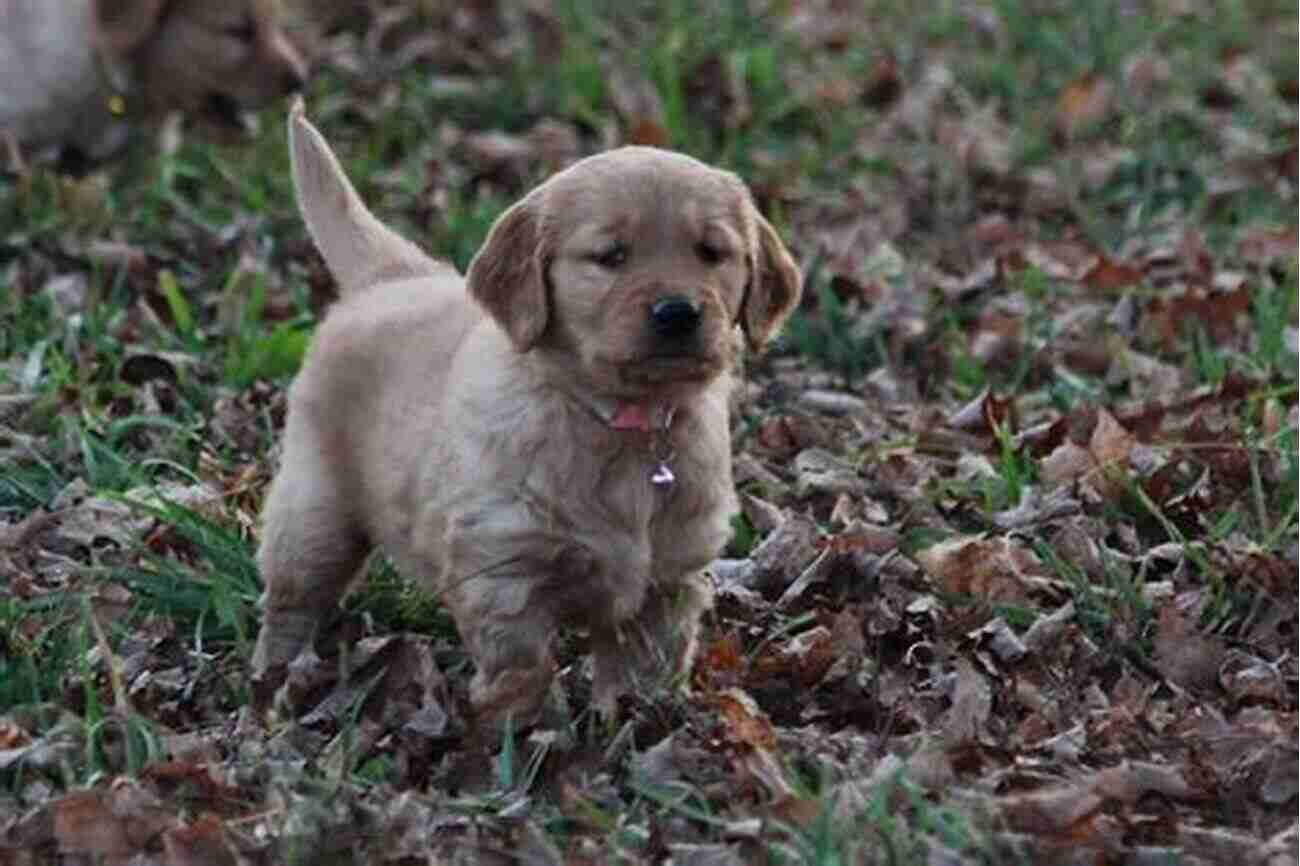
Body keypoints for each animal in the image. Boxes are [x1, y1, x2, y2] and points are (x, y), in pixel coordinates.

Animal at [252, 99, 800, 722]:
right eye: (610, 256)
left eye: (712, 252)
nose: (678, 311)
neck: (620, 422)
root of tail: (392, 277)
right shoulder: (503, 569)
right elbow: (523, 668)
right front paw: (526, 732)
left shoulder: (670, 573)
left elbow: (647, 665)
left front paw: (638, 719)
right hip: (313, 509)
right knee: (292, 598)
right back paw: (273, 680)